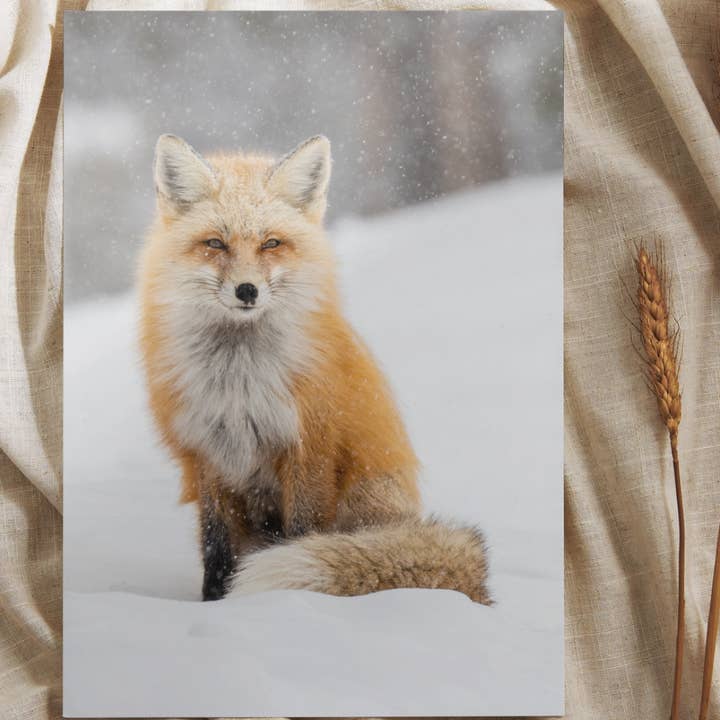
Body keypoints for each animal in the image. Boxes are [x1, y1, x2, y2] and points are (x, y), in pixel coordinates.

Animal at [138, 133, 490, 605]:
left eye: (271, 243)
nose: (247, 290)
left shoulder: (310, 446)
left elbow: (303, 531)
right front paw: (214, 603)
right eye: (215, 244)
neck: (239, 381)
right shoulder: (208, 452)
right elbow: (216, 544)